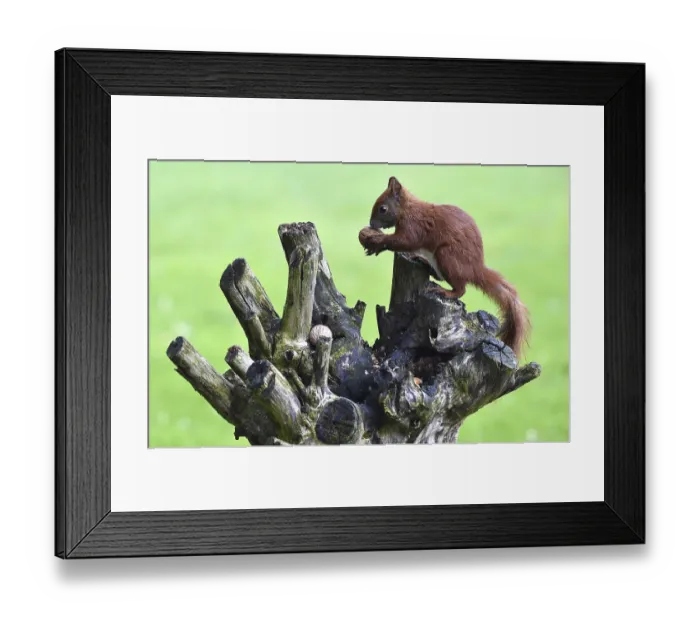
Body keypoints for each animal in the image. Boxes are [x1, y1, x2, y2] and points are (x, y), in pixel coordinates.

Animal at [359, 176, 531, 359]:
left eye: (383, 209)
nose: (371, 223)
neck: (407, 210)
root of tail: (475, 270)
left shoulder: (414, 226)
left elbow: (404, 241)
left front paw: (378, 241)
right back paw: (422, 261)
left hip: (447, 257)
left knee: (461, 289)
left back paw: (445, 291)